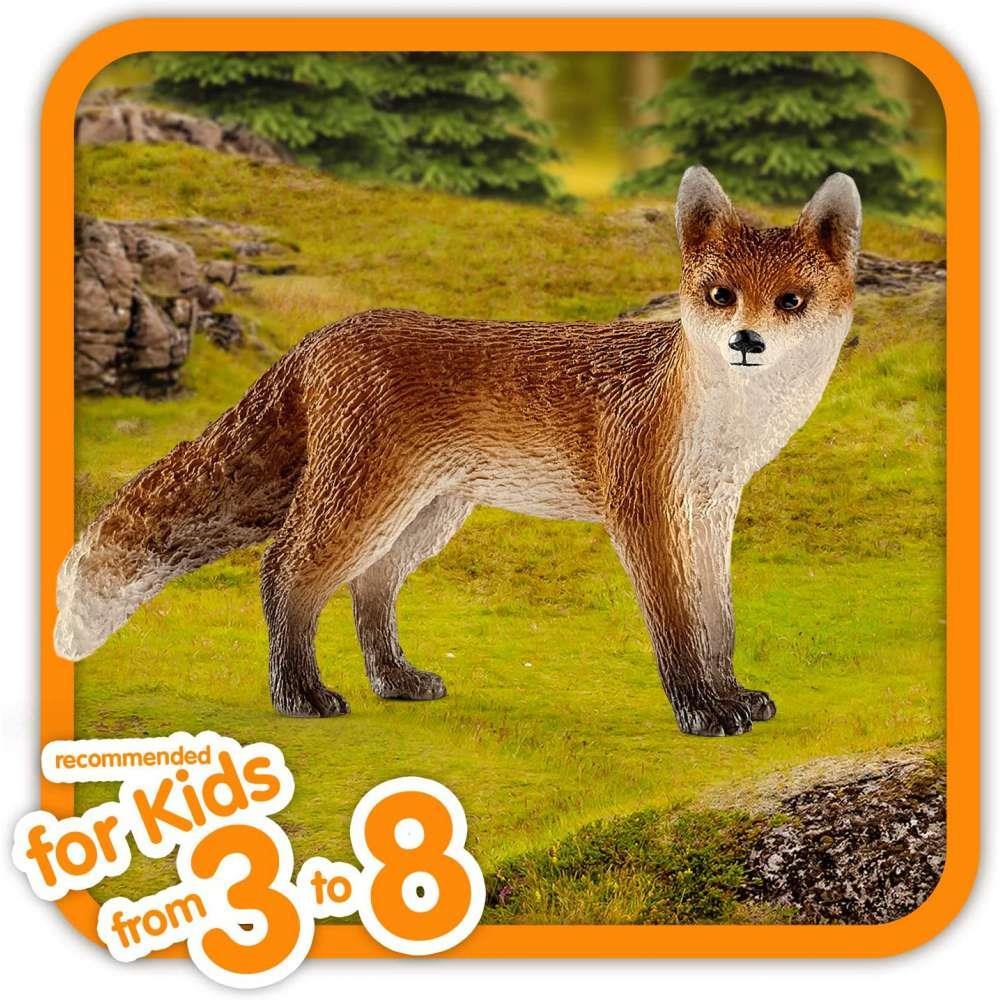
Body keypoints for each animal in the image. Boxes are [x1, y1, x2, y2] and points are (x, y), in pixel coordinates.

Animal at [55, 166, 861, 737]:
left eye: (790, 302)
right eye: (721, 295)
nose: (747, 342)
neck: (720, 423)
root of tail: (320, 338)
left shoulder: (710, 511)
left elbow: (718, 624)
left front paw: (733, 695)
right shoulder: (643, 513)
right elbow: (678, 627)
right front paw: (700, 710)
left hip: (426, 516)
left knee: (368, 588)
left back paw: (395, 680)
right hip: (366, 503)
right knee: (285, 572)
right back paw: (301, 695)